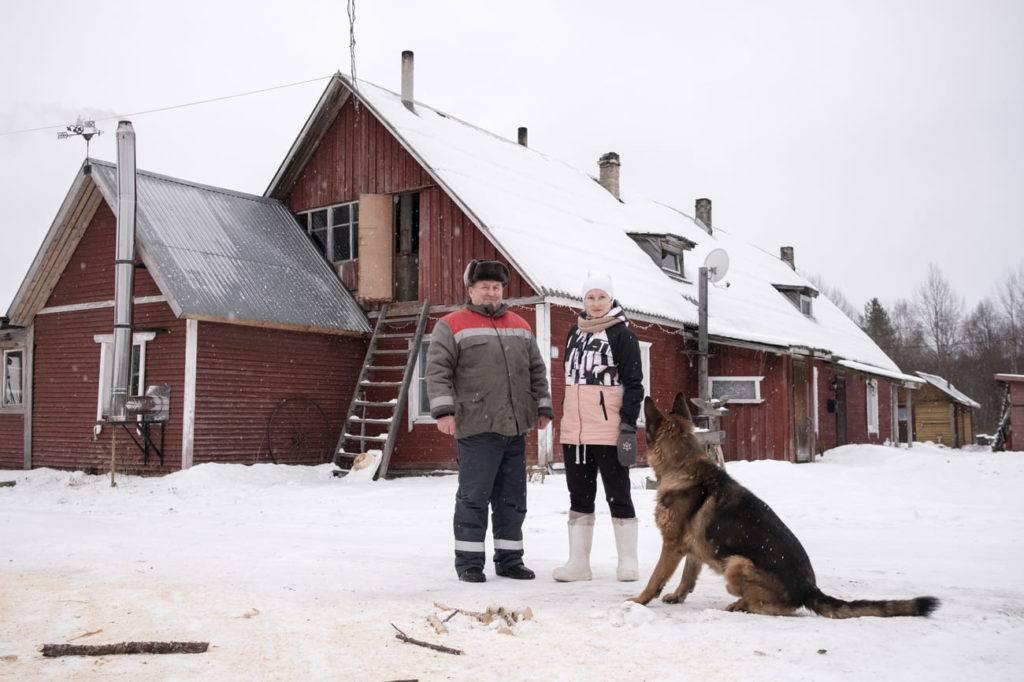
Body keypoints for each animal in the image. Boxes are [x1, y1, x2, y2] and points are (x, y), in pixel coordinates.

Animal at [630, 393, 942, 614]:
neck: (683, 463)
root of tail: (810, 589)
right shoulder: (692, 548)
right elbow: (688, 576)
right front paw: (677, 595)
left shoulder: (672, 545)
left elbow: (656, 577)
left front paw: (638, 600)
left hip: (735, 565)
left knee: (778, 607)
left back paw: (742, 605)